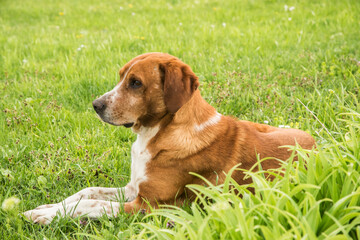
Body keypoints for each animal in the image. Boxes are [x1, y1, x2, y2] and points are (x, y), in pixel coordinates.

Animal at [23, 52, 316, 225]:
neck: (154, 136)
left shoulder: (149, 205)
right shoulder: (133, 188)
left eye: (135, 83)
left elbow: (90, 203)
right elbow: (86, 192)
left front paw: (44, 214)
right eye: (121, 77)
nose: (95, 105)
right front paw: (51, 205)